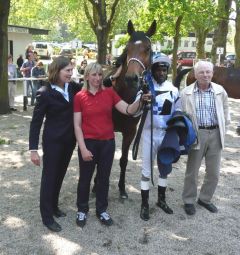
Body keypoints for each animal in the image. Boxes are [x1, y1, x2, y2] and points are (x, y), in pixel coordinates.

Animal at [109, 20, 158, 199]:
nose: (131, 78)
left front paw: (122, 189)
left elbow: (123, 160)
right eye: (127, 48)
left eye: (148, 48)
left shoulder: (130, 132)